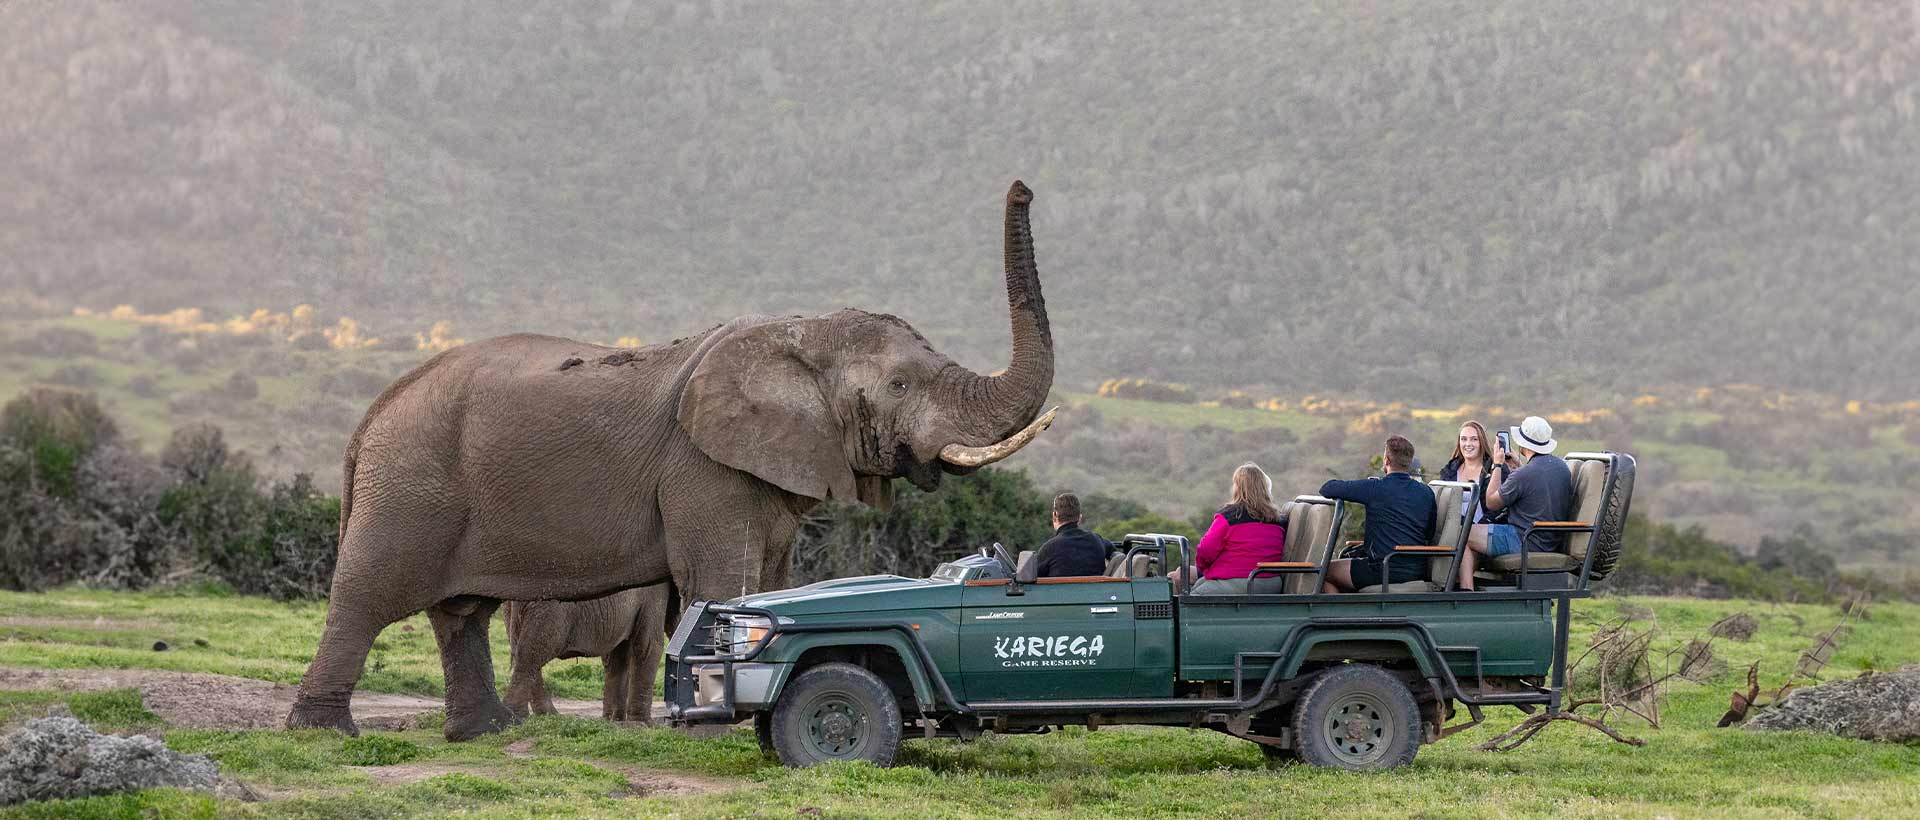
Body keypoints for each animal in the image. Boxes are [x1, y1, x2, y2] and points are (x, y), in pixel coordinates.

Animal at [502, 585, 671, 723]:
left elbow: (616, 654)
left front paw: (613, 721)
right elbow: (648, 645)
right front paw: (643, 725)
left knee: (526, 656)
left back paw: (546, 716)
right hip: (547, 609)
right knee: (530, 656)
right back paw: (519, 717)